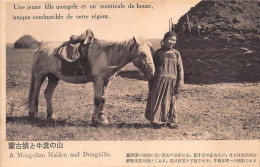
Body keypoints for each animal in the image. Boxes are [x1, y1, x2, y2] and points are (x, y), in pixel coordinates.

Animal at [26, 31, 155, 125]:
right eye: (143, 54)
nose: (152, 73)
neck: (107, 56)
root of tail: (40, 49)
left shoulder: (107, 81)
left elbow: (103, 99)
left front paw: (103, 118)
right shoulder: (98, 81)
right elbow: (97, 99)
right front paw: (95, 119)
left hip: (53, 78)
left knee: (48, 93)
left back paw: (51, 116)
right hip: (40, 77)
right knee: (35, 93)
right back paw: (32, 114)